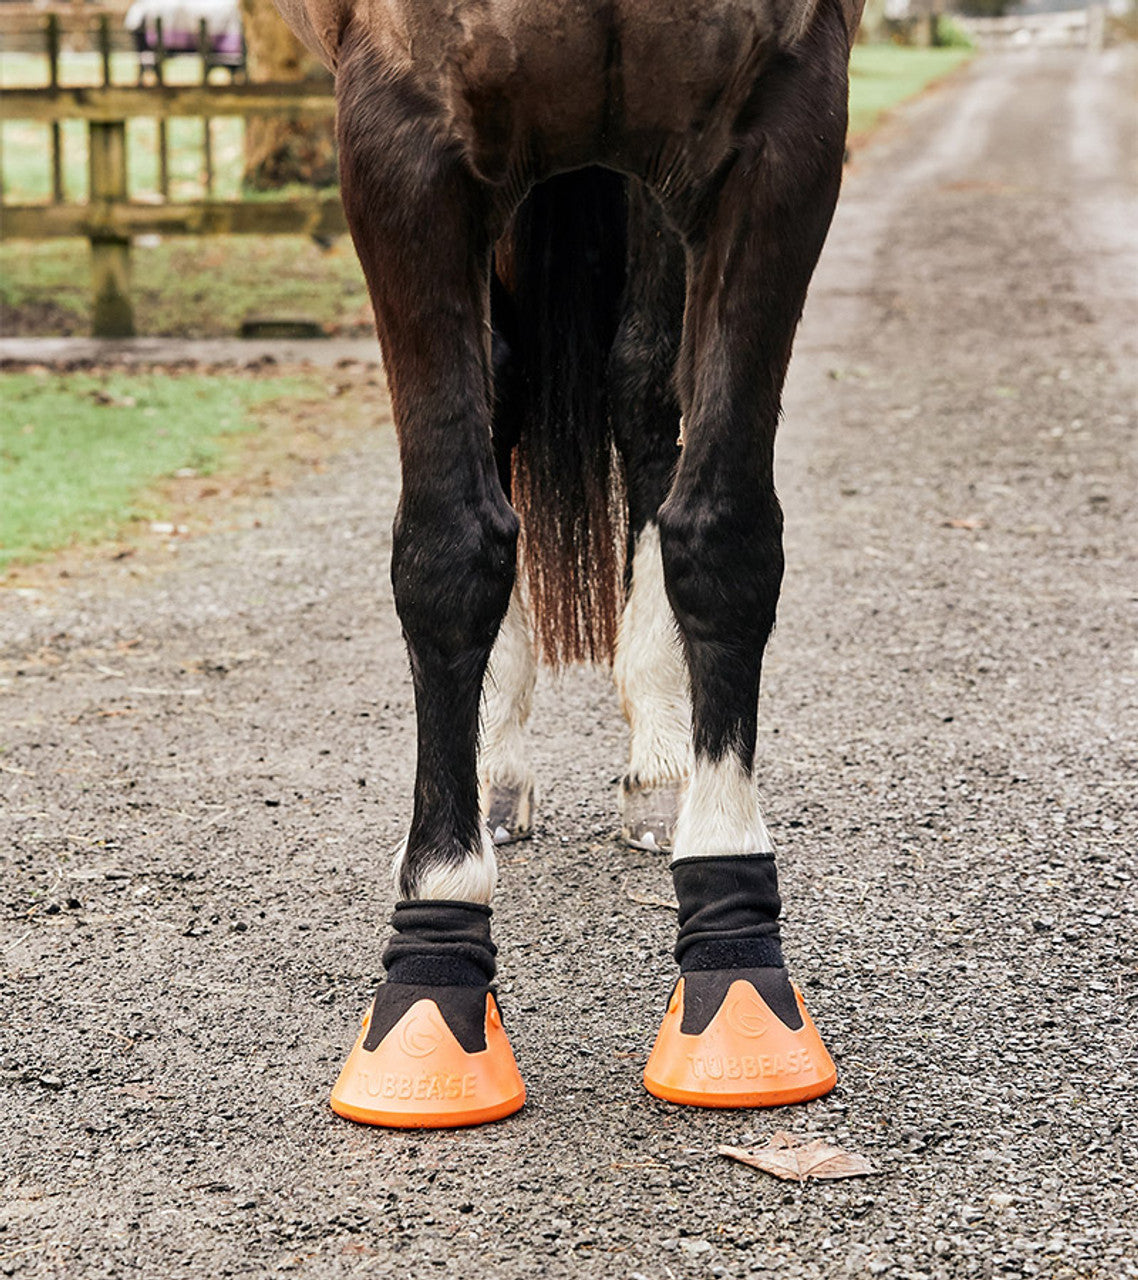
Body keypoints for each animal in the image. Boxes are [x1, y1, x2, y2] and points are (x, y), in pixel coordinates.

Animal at [272, 0, 860, 1126]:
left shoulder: (783, 121)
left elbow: (724, 531)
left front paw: (735, 968)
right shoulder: (402, 131)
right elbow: (450, 548)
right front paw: (431, 976)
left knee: (646, 390)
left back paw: (664, 760)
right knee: (502, 396)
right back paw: (492, 774)